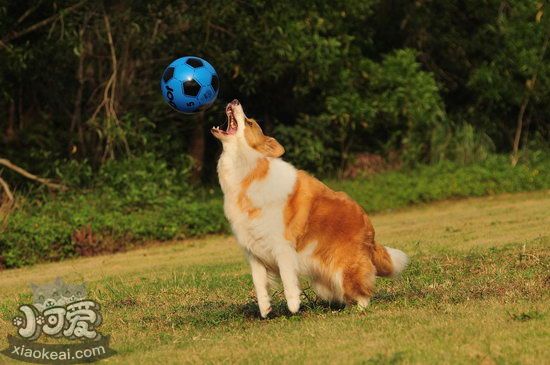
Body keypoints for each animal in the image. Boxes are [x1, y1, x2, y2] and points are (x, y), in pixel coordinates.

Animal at [211, 99, 410, 316]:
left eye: (249, 123)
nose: (235, 100)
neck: (249, 170)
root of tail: (370, 233)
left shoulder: (282, 246)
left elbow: (287, 279)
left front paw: (293, 306)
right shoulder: (254, 252)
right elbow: (259, 284)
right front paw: (265, 309)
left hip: (344, 268)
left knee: (362, 291)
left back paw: (357, 310)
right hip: (324, 280)